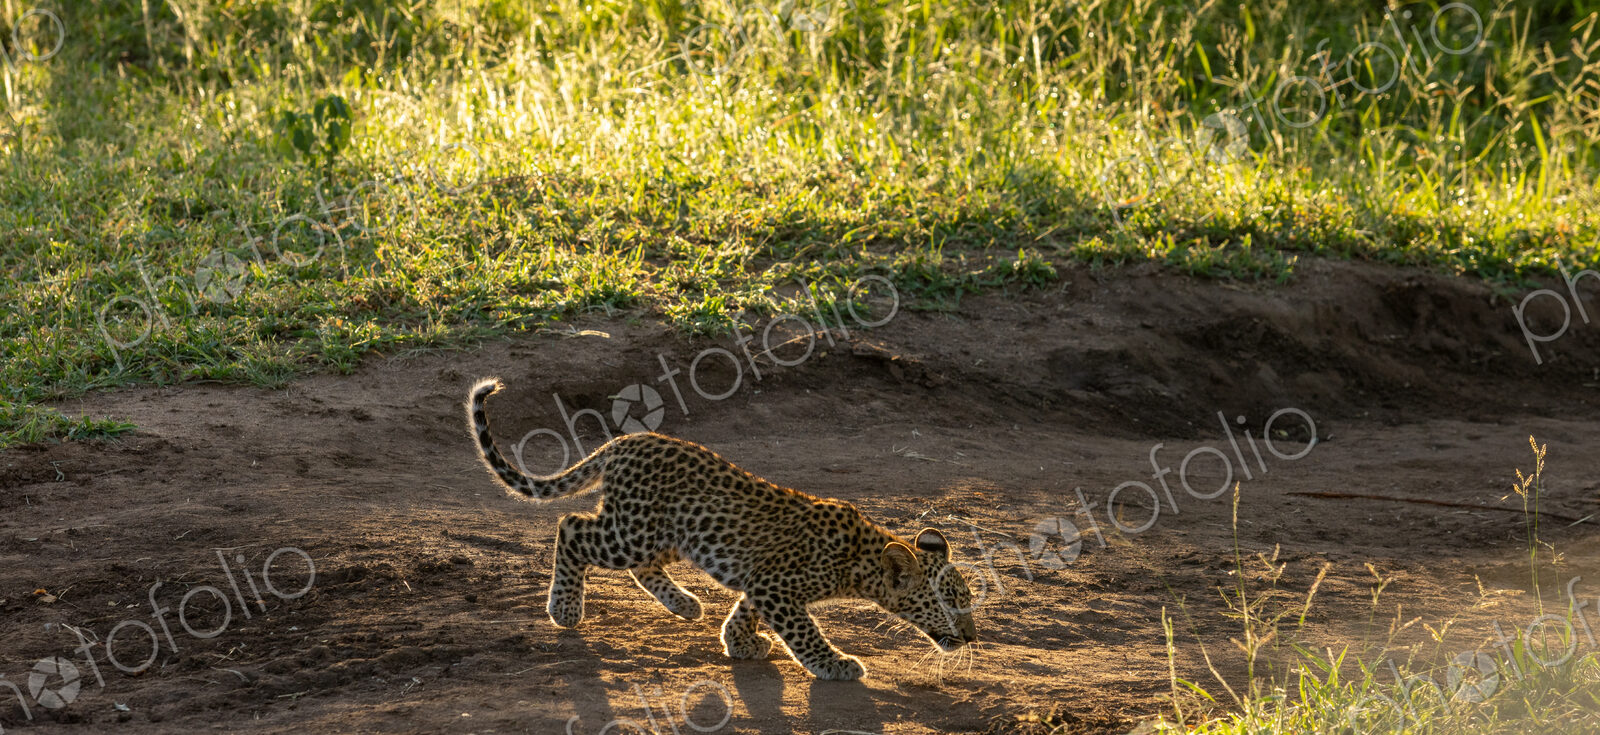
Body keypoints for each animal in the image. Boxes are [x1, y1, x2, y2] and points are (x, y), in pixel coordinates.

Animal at [466, 377, 978, 680]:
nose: (973, 637)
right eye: (949, 604)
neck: (860, 563)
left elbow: (746, 609)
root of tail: (624, 441)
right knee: (571, 526)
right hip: (632, 532)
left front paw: (740, 642)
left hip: (669, 534)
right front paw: (834, 665)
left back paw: (685, 605)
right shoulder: (778, 586)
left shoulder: (762, 581)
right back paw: (566, 609)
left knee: (641, 565)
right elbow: (804, 631)